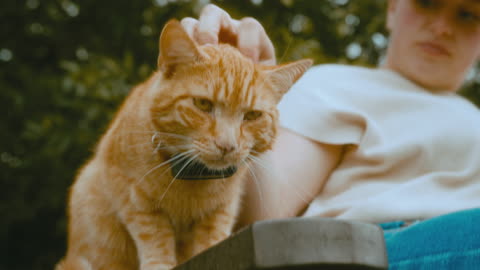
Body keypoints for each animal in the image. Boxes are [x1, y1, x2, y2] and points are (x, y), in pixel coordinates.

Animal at [55, 19, 312, 270]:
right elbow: (153, 234)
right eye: (203, 104)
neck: (192, 179)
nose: (227, 145)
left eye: (252, 115)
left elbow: (210, 243)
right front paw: (159, 263)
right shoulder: (131, 195)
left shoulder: (222, 209)